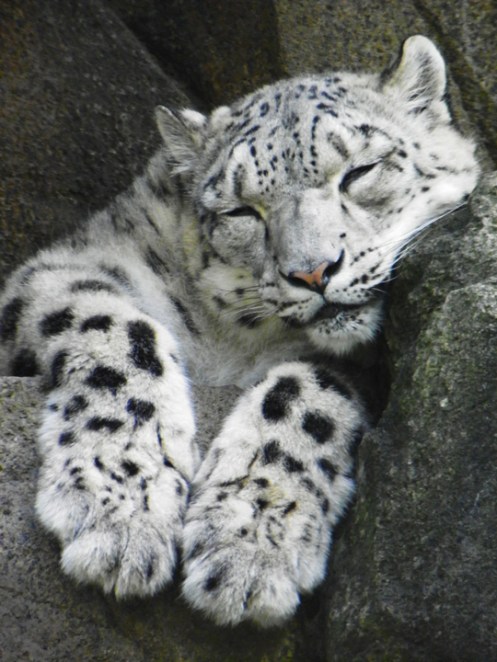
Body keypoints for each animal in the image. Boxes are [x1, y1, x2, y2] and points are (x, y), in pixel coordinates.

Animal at [0, 35, 479, 627]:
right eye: (241, 211)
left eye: (361, 171)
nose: (314, 271)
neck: (232, 339)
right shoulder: (67, 266)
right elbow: (113, 327)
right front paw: (123, 505)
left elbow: (305, 397)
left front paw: (247, 548)